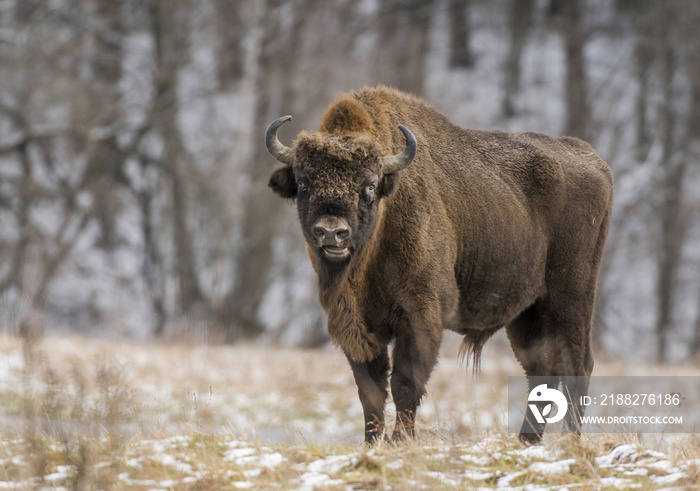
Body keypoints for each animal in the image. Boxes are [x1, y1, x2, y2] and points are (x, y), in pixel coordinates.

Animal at [266, 86, 608, 444]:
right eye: (304, 183)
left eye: (369, 185)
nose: (332, 231)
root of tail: (592, 159)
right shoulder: (356, 326)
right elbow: (370, 391)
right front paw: (372, 443)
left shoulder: (420, 317)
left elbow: (405, 383)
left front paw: (401, 441)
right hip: (526, 314)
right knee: (541, 372)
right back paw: (527, 441)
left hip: (571, 300)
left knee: (577, 366)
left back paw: (570, 440)